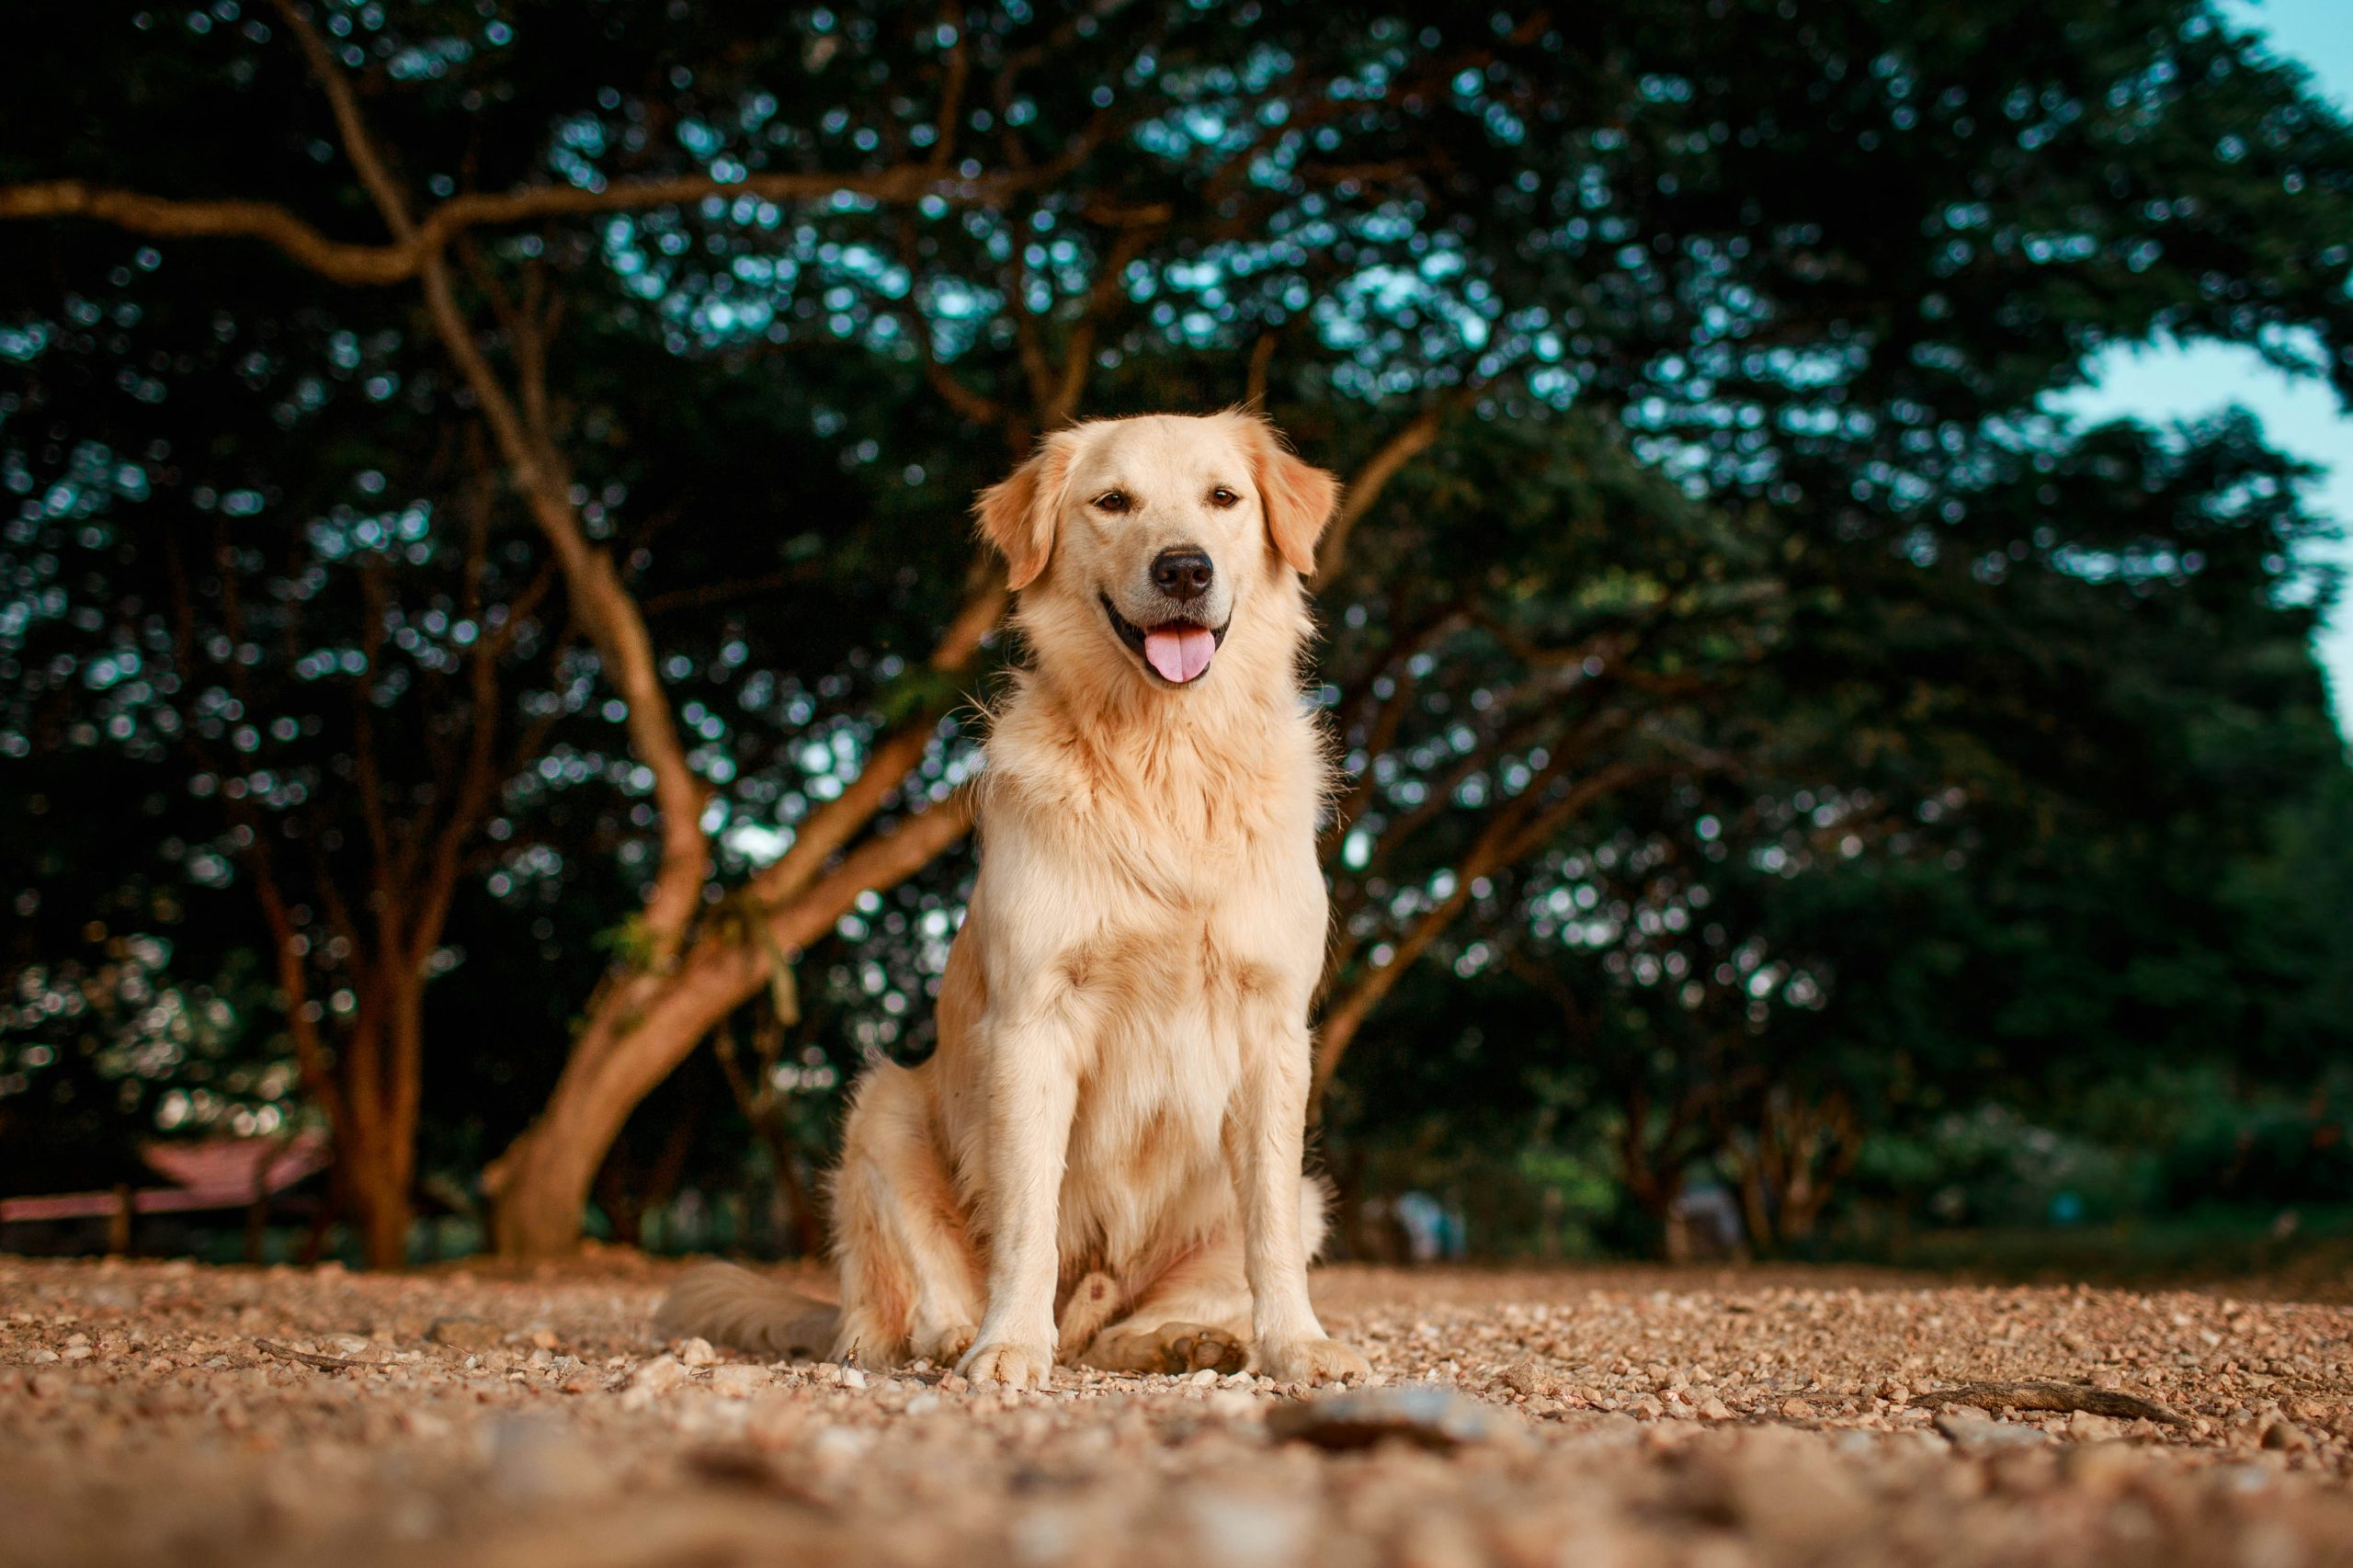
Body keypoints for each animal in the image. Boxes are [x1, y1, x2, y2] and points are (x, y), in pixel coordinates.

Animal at [654, 409, 1374, 1384]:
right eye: (1114, 501)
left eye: (1224, 497)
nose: (1184, 569)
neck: (1166, 756)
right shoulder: (1035, 1019)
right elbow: (1028, 1217)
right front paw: (1008, 1347)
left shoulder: (1272, 1030)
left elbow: (1266, 1231)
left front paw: (1296, 1344)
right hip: (882, 1111)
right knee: (893, 1310)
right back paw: (954, 1334)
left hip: (1303, 1192)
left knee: (1128, 1320)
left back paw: (1178, 1339)